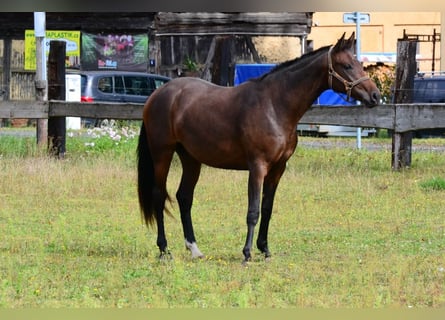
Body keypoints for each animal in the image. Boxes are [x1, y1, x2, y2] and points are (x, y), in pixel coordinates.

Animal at [137, 32, 380, 262]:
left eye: (360, 64)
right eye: (346, 65)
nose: (375, 96)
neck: (274, 105)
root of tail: (157, 94)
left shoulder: (278, 169)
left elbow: (267, 208)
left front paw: (265, 249)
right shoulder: (257, 167)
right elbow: (253, 211)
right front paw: (247, 253)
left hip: (190, 158)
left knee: (184, 197)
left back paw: (194, 249)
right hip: (162, 154)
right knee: (159, 195)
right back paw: (164, 250)